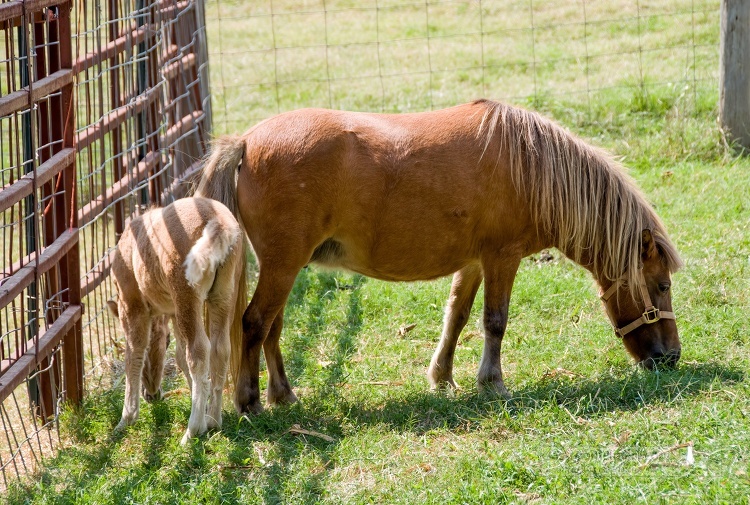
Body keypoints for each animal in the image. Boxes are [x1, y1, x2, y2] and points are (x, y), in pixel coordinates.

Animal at [108, 196, 247, 440]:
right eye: (165, 342)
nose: (152, 395)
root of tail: (219, 222)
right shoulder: (172, 311)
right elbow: (180, 356)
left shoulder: (131, 304)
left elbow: (133, 353)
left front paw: (126, 419)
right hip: (224, 293)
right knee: (220, 349)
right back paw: (213, 420)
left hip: (186, 292)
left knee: (199, 351)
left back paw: (193, 431)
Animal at [197, 98, 684, 414]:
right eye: (662, 285)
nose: (671, 358)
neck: (531, 166)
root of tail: (245, 142)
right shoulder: (502, 257)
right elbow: (495, 321)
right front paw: (492, 383)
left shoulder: (473, 262)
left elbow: (458, 317)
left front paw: (443, 377)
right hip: (282, 265)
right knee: (254, 324)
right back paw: (250, 403)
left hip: (287, 266)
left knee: (272, 328)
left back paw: (283, 395)